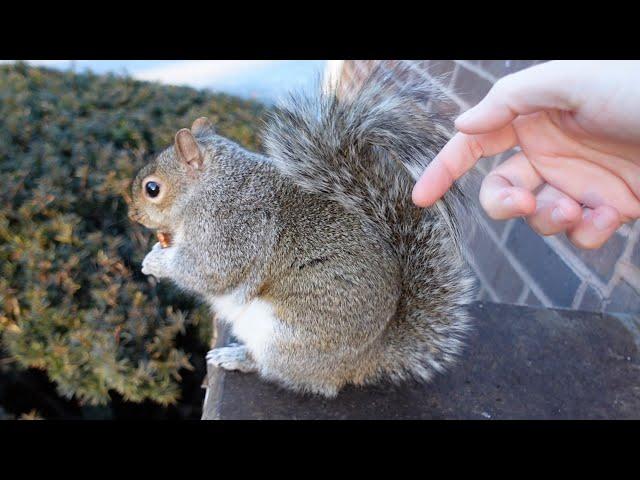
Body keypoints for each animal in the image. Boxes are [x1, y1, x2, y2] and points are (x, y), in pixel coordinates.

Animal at [129, 67, 476, 398]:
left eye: (152, 189)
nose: (132, 214)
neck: (211, 187)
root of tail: (362, 360)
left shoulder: (233, 228)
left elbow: (210, 271)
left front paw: (158, 263)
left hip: (285, 337)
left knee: (287, 373)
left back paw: (238, 358)